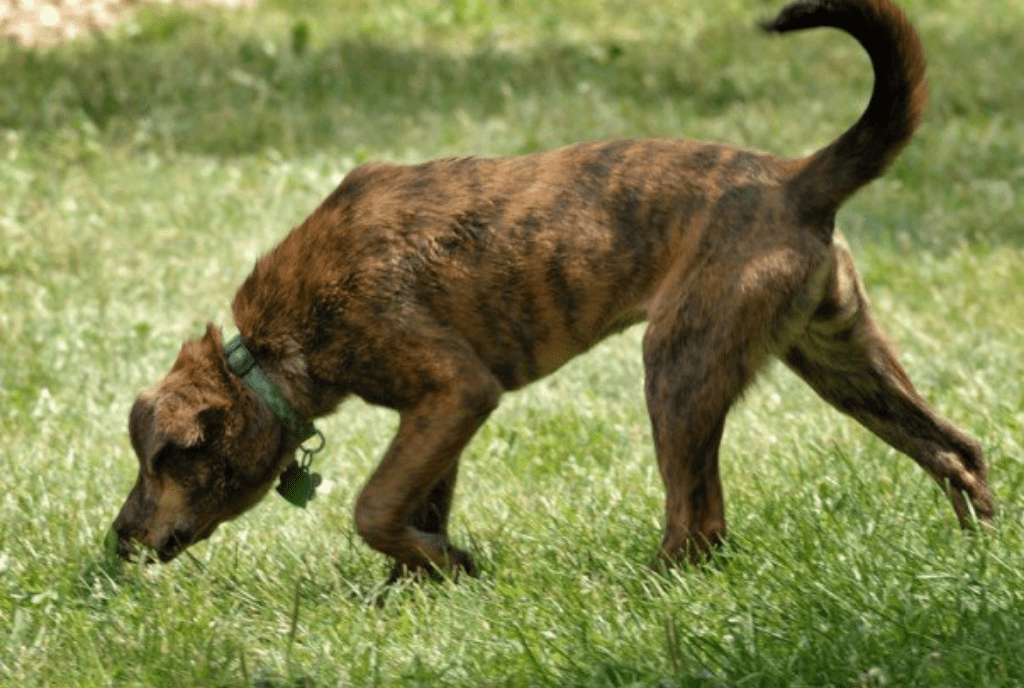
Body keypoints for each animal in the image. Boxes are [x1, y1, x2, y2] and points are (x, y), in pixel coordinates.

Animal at [110, 0, 991, 577]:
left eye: (163, 462)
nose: (116, 538)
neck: (269, 354)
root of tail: (796, 178)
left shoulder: (456, 391)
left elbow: (372, 506)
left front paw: (445, 567)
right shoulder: (436, 419)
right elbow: (414, 508)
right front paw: (424, 585)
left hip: (679, 367)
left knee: (700, 523)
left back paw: (647, 589)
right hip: (839, 357)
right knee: (958, 448)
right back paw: (979, 556)